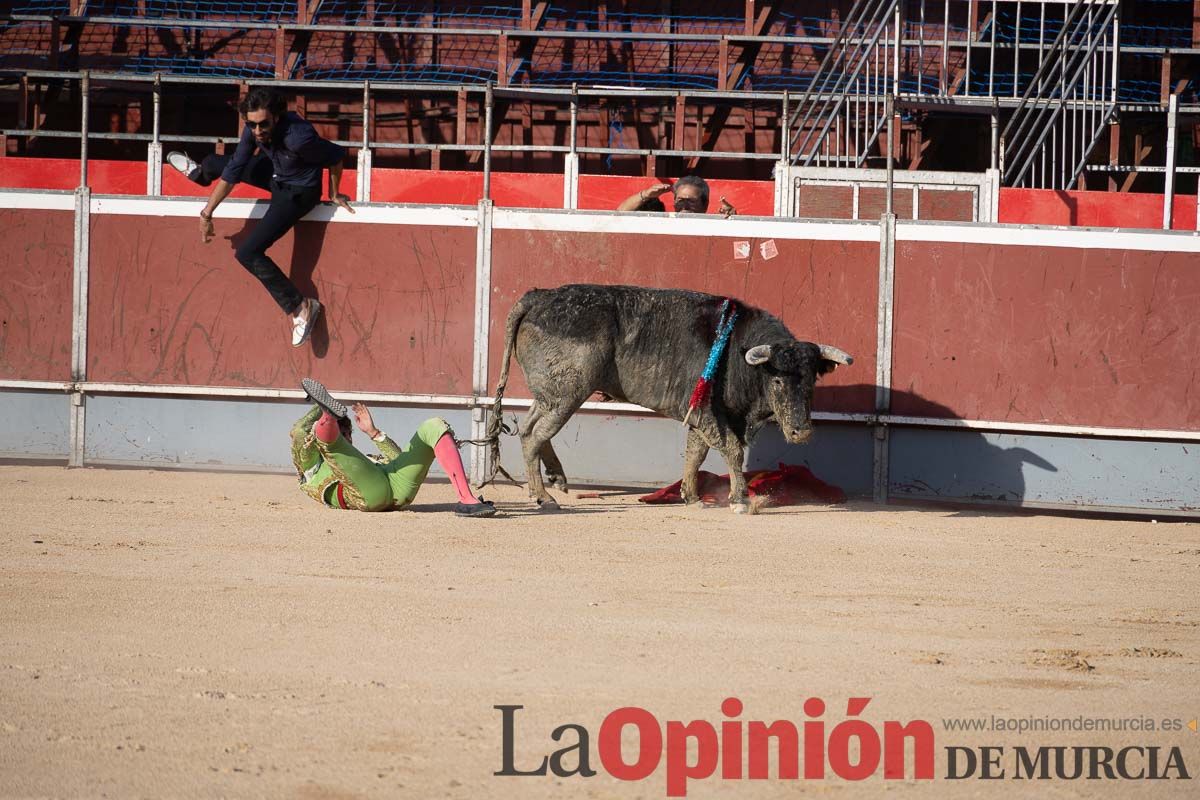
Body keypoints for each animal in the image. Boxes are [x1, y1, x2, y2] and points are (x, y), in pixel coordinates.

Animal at [487, 287, 854, 513]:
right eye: (777, 380)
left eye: (811, 381)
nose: (801, 433)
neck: (738, 353)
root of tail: (539, 296)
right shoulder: (709, 412)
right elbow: (732, 450)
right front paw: (738, 500)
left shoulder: (704, 415)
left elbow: (695, 452)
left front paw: (692, 497)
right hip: (567, 394)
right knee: (535, 435)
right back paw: (544, 497)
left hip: (551, 395)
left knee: (531, 429)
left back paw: (555, 479)